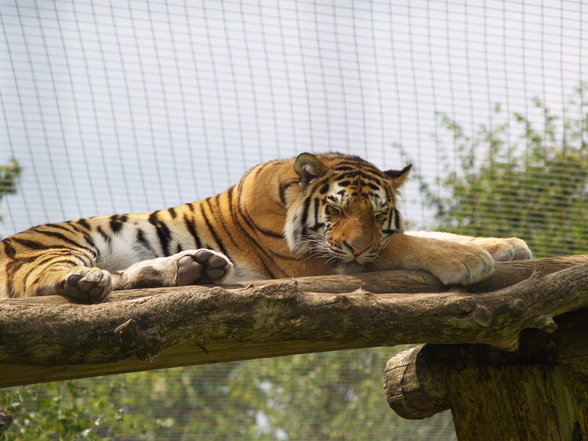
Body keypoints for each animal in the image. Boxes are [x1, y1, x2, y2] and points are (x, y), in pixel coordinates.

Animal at [0, 152, 532, 302]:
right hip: (60, 245)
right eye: (337, 210)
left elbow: (420, 234)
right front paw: (468, 259)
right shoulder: (314, 258)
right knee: (42, 283)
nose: (358, 248)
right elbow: (406, 244)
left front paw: (506, 244)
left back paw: (194, 267)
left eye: (378, 213)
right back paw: (87, 282)